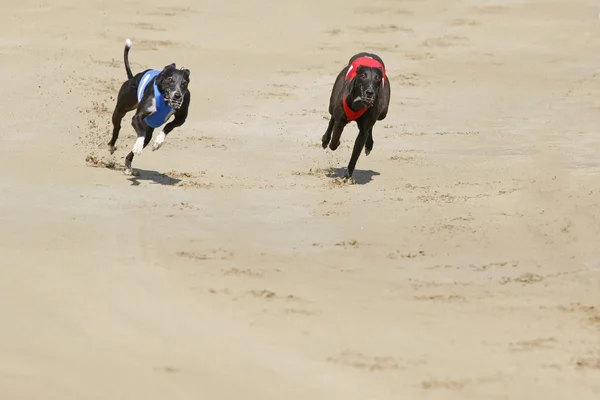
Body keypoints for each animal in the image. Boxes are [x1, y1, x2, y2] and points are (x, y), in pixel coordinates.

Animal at [108, 38, 191, 175]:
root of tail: (134, 77)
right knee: (117, 127)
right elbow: (140, 131)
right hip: (121, 108)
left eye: (184, 83)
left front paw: (158, 141)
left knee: (139, 144)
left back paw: (128, 166)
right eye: (170, 80)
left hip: (148, 128)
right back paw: (112, 146)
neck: (165, 100)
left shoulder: (181, 118)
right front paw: (138, 145)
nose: (177, 96)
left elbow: (169, 125)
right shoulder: (137, 117)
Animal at [322, 52, 392, 180]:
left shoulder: (363, 131)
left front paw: (347, 176)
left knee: (372, 126)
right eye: (363, 75)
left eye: (377, 78)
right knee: (332, 117)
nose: (370, 92)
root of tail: (368, 54)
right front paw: (334, 143)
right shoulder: (340, 122)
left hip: (383, 113)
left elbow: (356, 153)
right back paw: (325, 140)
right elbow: (334, 142)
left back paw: (369, 145)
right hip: (333, 101)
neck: (359, 103)